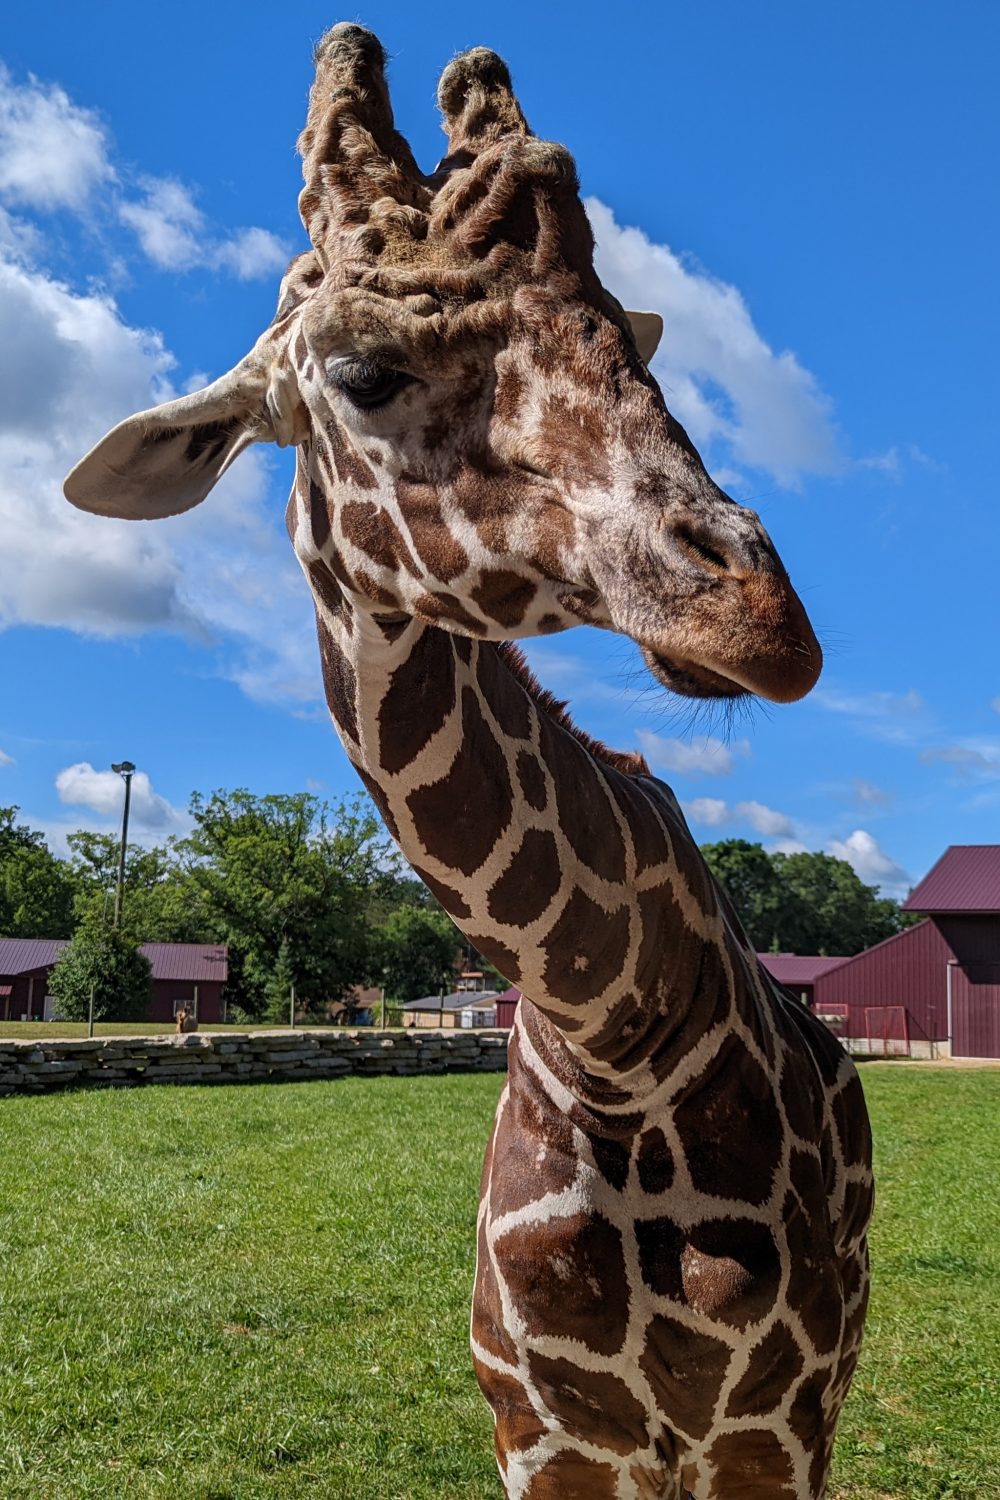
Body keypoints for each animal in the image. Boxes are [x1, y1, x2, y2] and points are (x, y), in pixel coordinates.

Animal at [66, 26, 869, 1500]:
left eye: (620, 331)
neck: (618, 1031)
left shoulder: (770, 1424)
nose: (757, 615)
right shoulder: (542, 1427)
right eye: (362, 371)